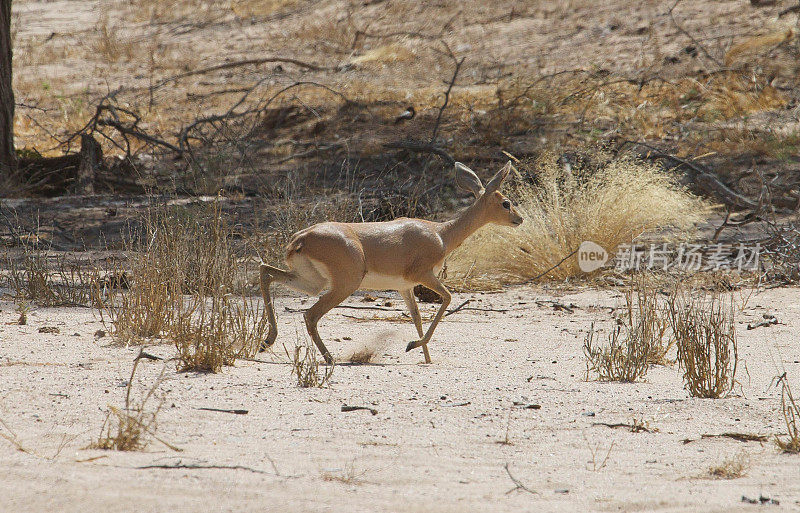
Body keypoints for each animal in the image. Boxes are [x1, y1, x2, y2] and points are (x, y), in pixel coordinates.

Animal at [260, 162, 524, 362]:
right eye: (506, 203)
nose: (519, 219)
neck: (441, 233)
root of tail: (301, 239)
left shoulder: (404, 287)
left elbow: (416, 317)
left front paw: (426, 358)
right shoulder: (423, 275)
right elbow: (448, 298)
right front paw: (412, 345)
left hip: (312, 282)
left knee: (266, 271)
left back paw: (267, 341)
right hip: (344, 285)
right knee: (310, 315)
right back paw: (329, 358)